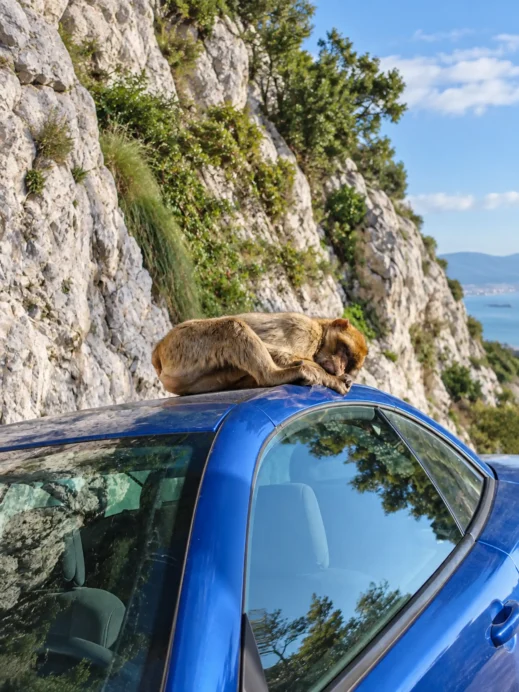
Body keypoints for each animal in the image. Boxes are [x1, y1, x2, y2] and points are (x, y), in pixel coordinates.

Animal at [151, 312, 368, 397]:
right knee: (232, 326)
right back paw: (275, 375)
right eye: (345, 352)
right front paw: (335, 379)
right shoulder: (303, 330)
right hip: (183, 344)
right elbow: (273, 348)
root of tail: (158, 349)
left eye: (349, 363)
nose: (341, 367)